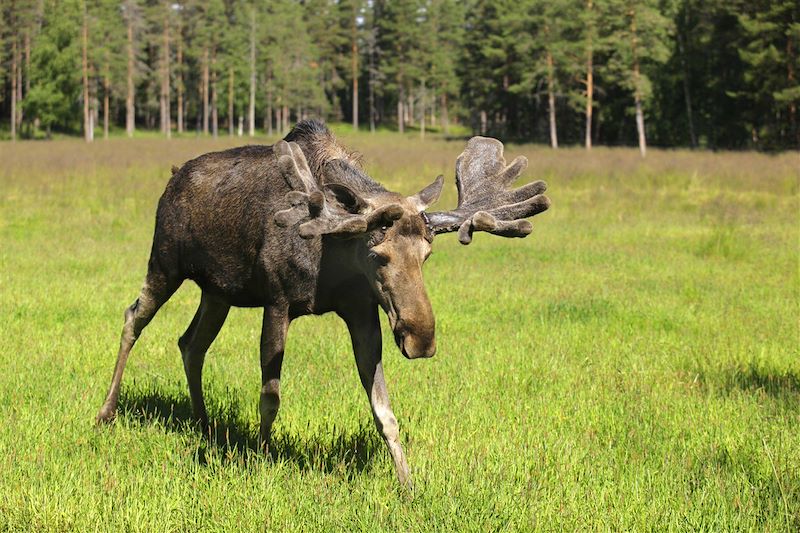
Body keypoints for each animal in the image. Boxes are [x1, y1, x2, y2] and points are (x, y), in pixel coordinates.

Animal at [95, 120, 552, 486]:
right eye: (378, 255)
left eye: (427, 254)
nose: (420, 339)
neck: (333, 257)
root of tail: (172, 178)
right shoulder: (278, 301)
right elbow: (271, 396)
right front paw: (261, 460)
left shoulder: (363, 313)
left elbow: (384, 410)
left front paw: (407, 483)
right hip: (165, 262)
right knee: (133, 317)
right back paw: (106, 412)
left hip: (217, 290)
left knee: (191, 343)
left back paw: (205, 424)